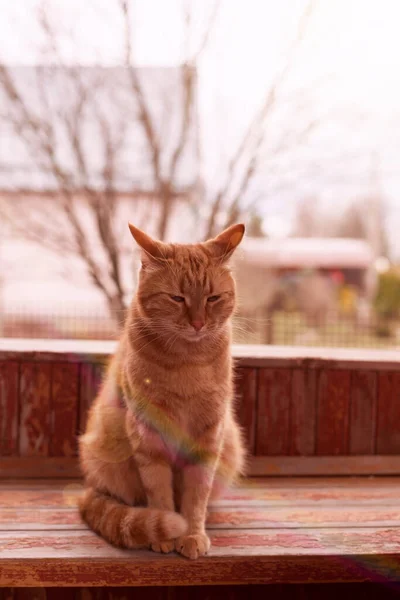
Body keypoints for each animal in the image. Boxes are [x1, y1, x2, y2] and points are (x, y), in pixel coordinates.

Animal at [78, 223, 245, 560]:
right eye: (177, 298)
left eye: (213, 298)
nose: (198, 323)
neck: (187, 361)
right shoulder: (148, 434)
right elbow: (158, 489)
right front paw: (167, 528)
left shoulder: (209, 434)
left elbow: (196, 495)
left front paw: (192, 533)